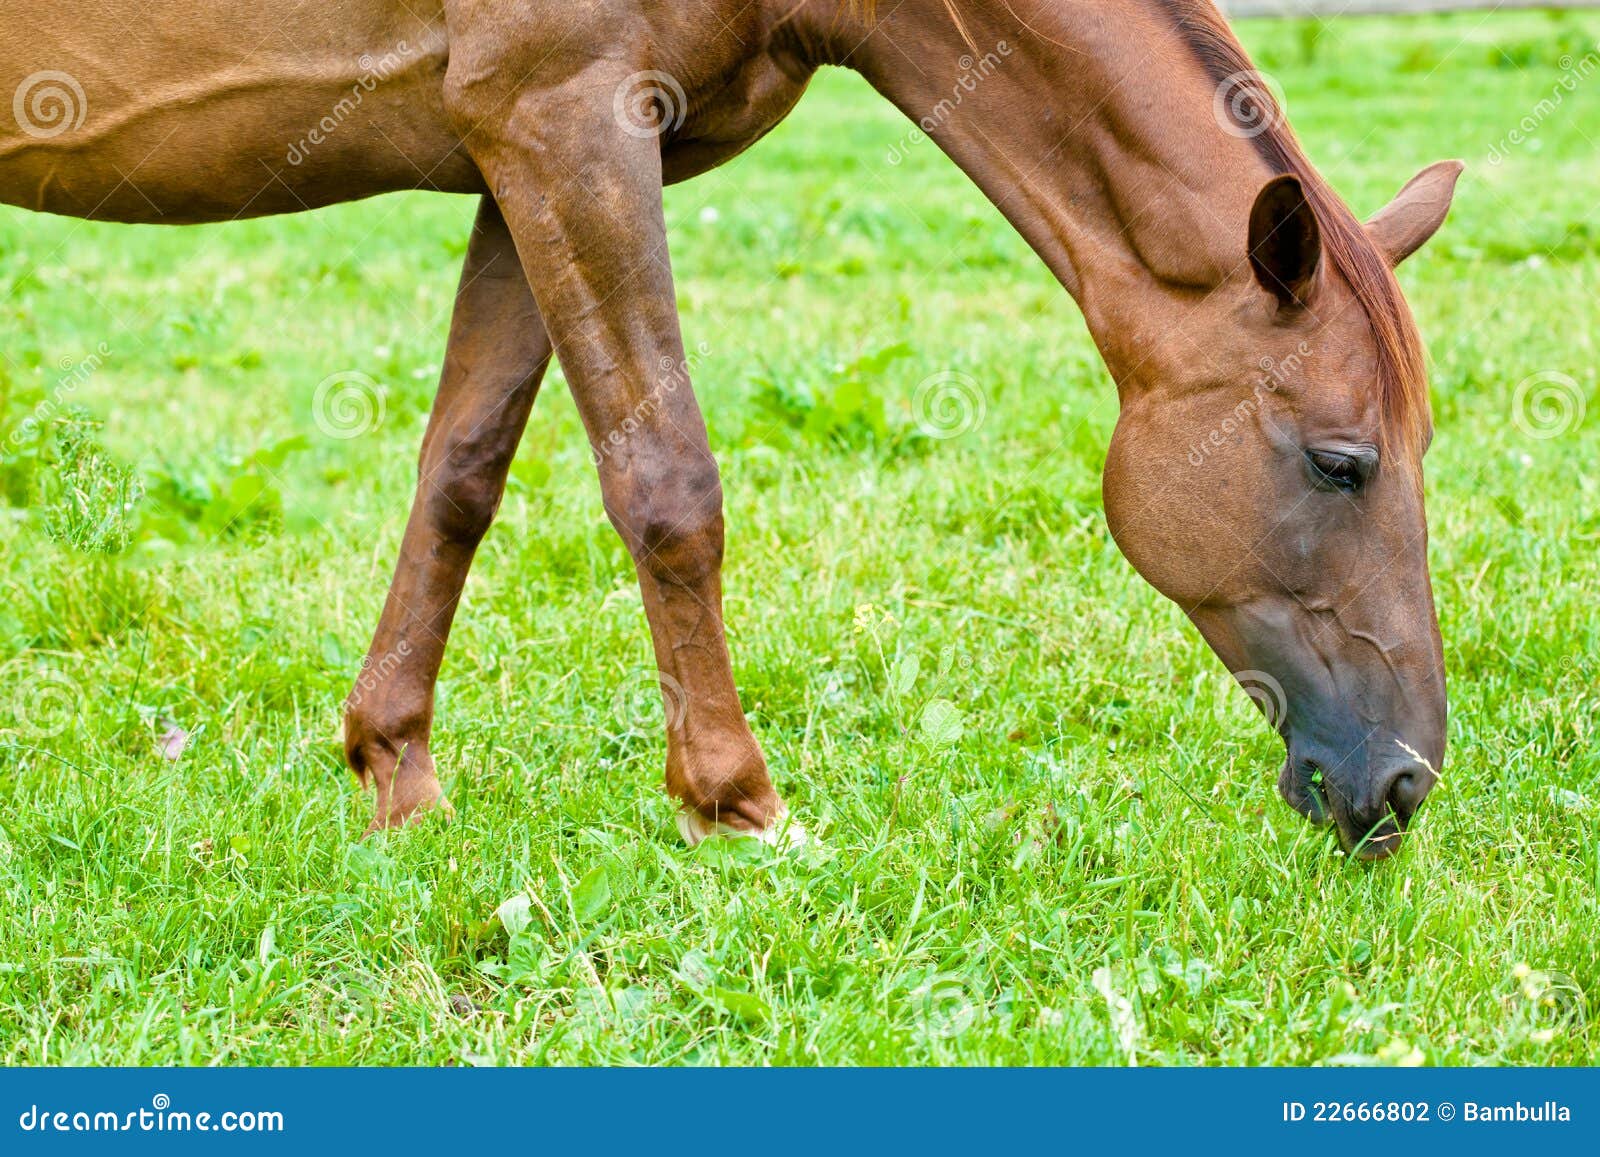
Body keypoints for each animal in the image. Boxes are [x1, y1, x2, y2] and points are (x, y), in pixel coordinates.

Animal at [0, 0, 1459, 859]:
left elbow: (461, 473)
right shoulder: (569, 119)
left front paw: (396, 775)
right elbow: (667, 487)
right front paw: (734, 800)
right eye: (1341, 462)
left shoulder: (515, 157)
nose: (1400, 781)